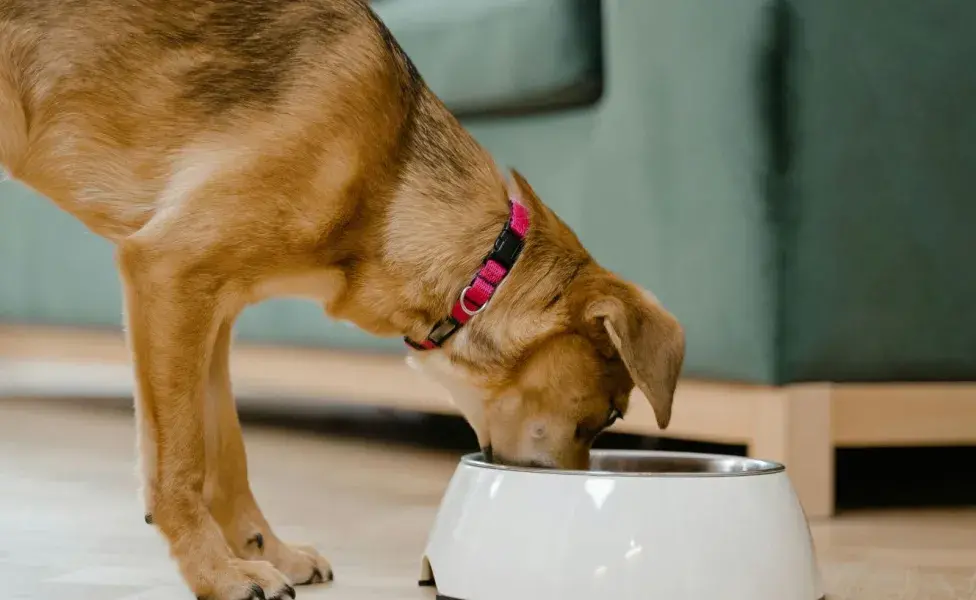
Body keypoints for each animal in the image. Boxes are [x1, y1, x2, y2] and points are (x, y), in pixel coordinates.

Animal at [1, 1, 688, 596]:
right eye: (609, 415)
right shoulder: (168, 271)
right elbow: (181, 463)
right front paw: (219, 575)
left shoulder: (210, 310)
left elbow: (226, 450)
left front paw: (263, 551)